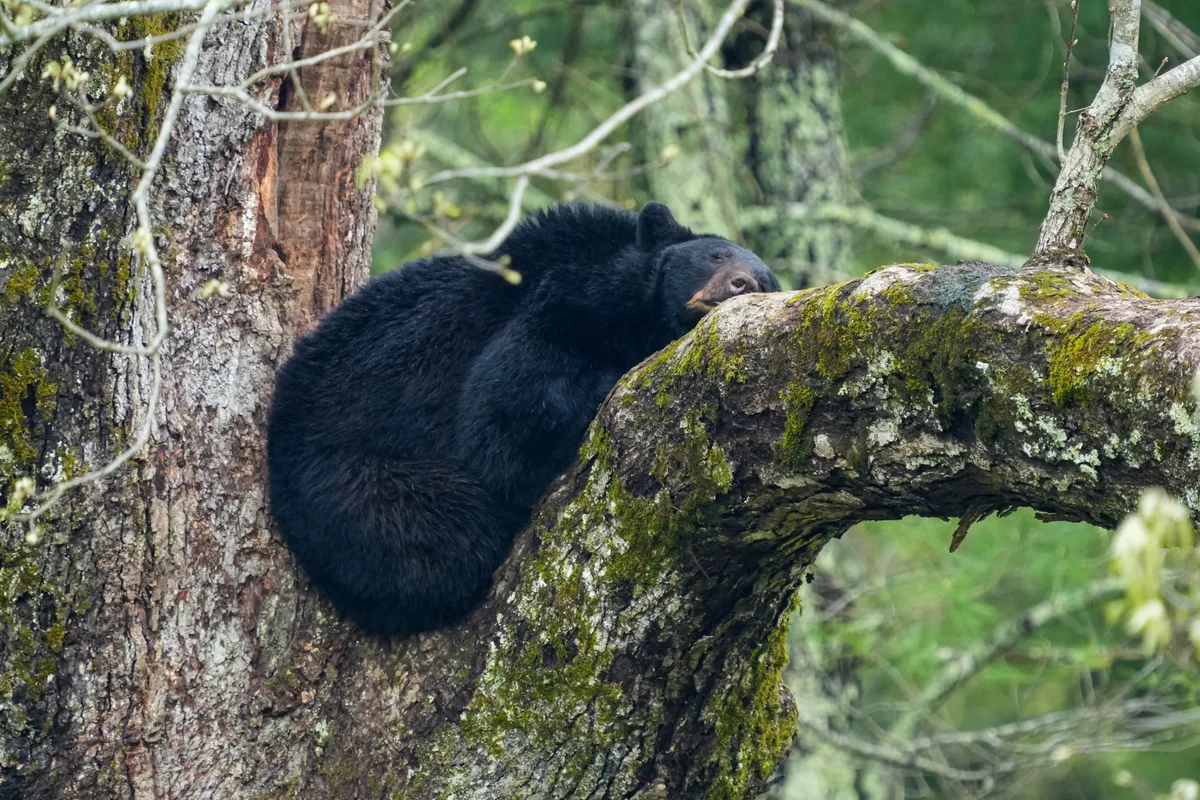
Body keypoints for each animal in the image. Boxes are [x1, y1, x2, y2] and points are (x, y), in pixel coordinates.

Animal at [266, 201, 781, 636]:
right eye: (715, 255)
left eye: (769, 281)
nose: (743, 283)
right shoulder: (564, 302)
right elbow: (507, 417)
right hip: (355, 481)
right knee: (449, 535)